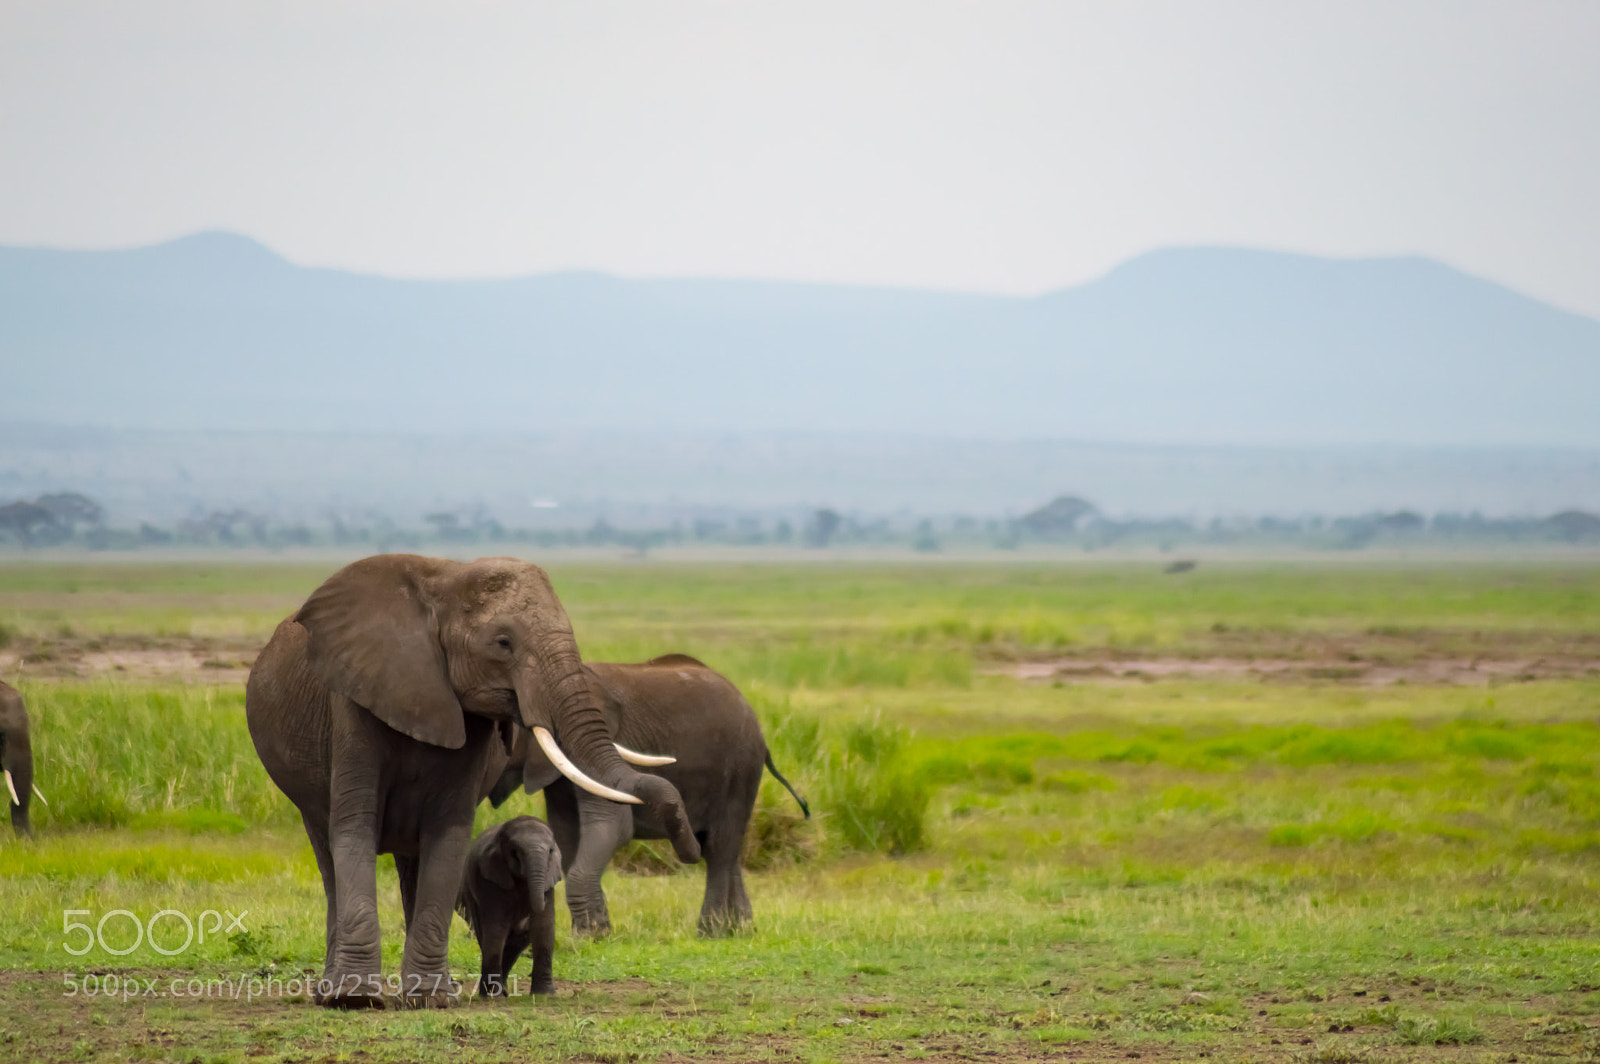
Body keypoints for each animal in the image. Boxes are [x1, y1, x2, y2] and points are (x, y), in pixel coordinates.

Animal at [456, 815, 562, 998]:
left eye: (550, 851)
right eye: (515, 852)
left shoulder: (549, 880)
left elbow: (544, 926)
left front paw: (545, 995)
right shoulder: (491, 878)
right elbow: (496, 928)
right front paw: (493, 996)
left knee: (515, 943)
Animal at [488, 654, 809, 936]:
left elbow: (613, 826)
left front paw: (591, 936)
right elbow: (566, 834)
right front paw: (593, 932)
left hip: (741, 767)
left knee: (720, 846)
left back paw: (710, 932)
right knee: (724, 849)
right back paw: (740, 930)